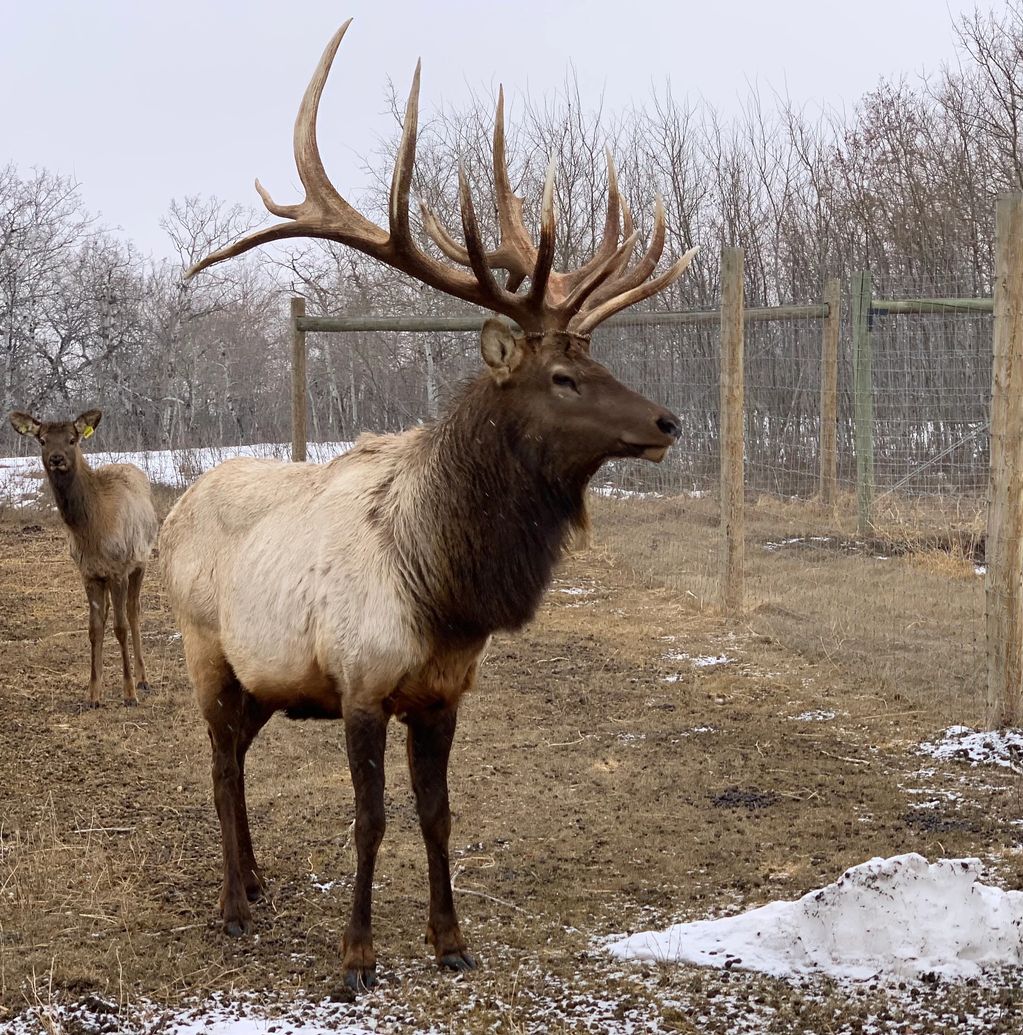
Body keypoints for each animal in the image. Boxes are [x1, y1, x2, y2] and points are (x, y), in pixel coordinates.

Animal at [7, 407, 158, 707]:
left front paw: (129, 693)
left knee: (134, 611)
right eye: (42, 440)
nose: (56, 459)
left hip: (141, 561)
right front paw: (93, 694)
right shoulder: (88, 573)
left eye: (72, 439)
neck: (91, 529)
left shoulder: (119, 570)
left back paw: (143, 679)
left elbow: (120, 627)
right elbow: (94, 629)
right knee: (113, 611)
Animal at [161, 16, 695, 985]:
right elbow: (369, 820)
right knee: (218, 762)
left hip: (264, 671)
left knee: (240, 755)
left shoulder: (443, 692)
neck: (443, 584)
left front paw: (451, 941)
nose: (665, 421)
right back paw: (231, 904)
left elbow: (438, 815)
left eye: (595, 357)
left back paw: (255, 879)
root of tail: (175, 513)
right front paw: (357, 954)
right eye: (562, 376)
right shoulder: (361, 682)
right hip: (203, 644)